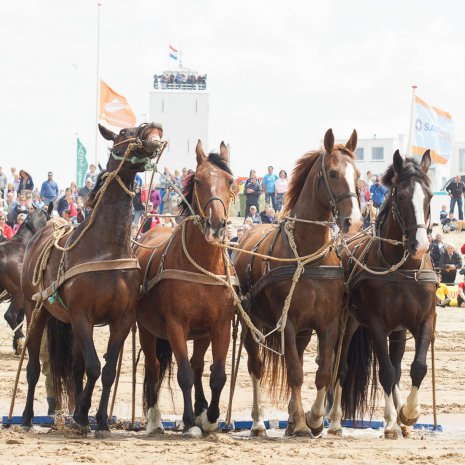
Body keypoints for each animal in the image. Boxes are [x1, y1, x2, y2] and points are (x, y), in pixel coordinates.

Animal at [20, 122, 165, 436]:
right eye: (123, 132)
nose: (154, 128)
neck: (105, 248)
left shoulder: (122, 318)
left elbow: (106, 370)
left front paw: (98, 419)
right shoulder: (82, 315)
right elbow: (95, 367)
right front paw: (82, 416)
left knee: (77, 368)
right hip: (35, 310)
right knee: (34, 367)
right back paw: (25, 417)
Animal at [135, 140, 236, 436]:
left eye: (229, 180)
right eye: (199, 180)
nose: (217, 224)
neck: (202, 267)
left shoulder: (220, 325)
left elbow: (216, 374)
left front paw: (210, 417)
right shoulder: (175, 325)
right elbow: (184, 375)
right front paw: (190, 420)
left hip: (202, 334)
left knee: (198, 363)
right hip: (146, 329)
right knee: (154, 368)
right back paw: (155, 419)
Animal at [234, 129, 360, 436]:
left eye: (359, 174)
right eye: (333, 173)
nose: (353, 221)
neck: (307, 256)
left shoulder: (328, 323)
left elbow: (323, 371)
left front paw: (313, 419)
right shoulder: (287, 323)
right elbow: (294, 372)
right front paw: (304, 423)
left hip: (302, 331)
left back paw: (293, 417)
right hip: (251, 323)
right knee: (256, 366)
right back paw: (258, 422)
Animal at [328, 150, 436, 436]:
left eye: (430, 196)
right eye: (401, 197)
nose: (421, 245)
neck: (403, 269)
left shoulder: (425, 320)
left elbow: (417, 367)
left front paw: (408, 414)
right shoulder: (376, 324)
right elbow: (385, 372)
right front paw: (389, 422)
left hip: (397, 331)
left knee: (397, 367)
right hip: (349, 323)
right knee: (341, 368)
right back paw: (334, 420)